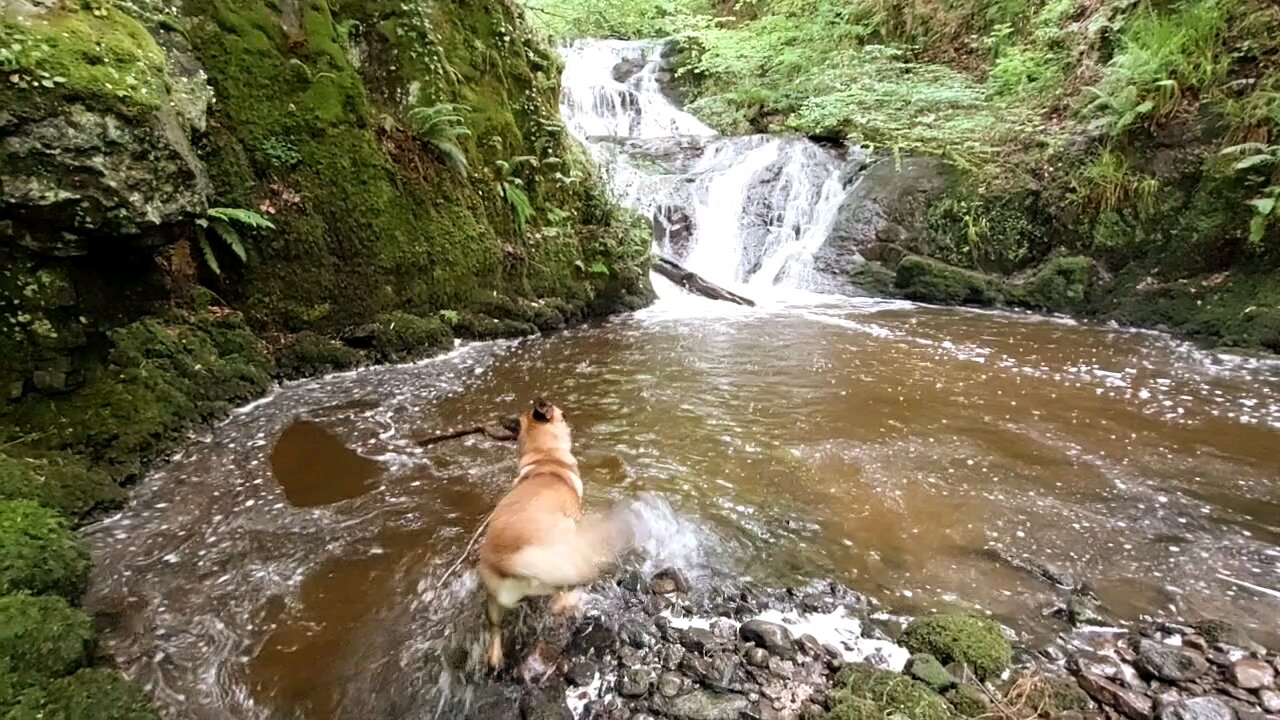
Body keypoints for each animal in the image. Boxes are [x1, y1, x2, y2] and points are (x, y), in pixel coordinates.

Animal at [478, 394, 622, 666]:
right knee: (561, 598)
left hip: (493, 601)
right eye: (562, 413)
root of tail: (507, 560)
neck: (545, 455)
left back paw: (495, 657)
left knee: (494, 627)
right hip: (558, 551)